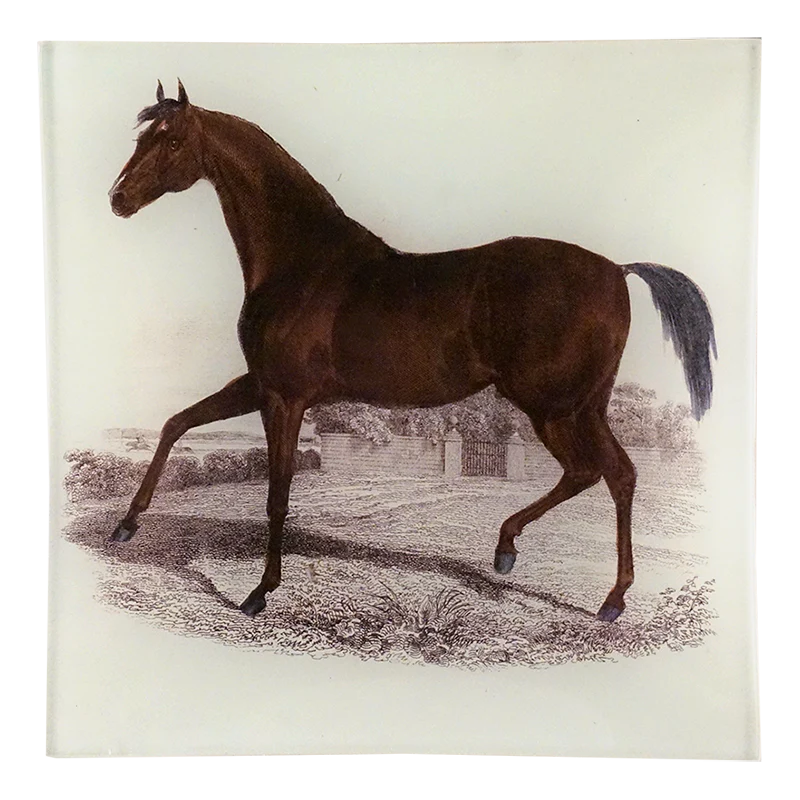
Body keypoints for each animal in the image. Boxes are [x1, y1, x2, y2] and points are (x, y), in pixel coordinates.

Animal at [108, 80, 717, 622]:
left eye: (171, 140)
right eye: (142, 135)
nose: (118, 199)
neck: (303, 262)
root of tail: (617, 270)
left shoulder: (284, 397)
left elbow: (276, 493)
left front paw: (259, 593)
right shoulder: (260, 384)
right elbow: (176, 424)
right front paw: (125, 526)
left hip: (553, 408)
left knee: (596, 472)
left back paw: (567, 578)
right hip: (583, 406)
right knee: (615, 475)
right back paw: (569, 580)